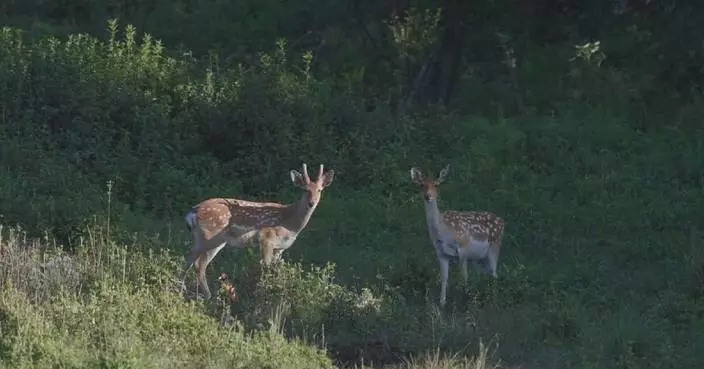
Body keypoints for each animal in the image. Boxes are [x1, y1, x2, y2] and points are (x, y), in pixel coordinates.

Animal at [183, 162, 334, 298]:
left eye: (319, 190)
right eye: (305, 189)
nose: (311, 203)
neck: (291, 224)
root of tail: (192, 212)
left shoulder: (281, 248)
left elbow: (274, 269)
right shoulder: (266, 238)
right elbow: (265, 267)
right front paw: (264, 292)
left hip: (210, 239)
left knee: (190, 259)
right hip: (210, 236)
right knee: (198, 263)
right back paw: (207, 296)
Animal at [410, 164, 504, 304]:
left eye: (436, 185)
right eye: (422, 185)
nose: (428, 196)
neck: (442, 232)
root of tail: (502, 221)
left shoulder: (463, 247)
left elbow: (464, 276)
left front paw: (464, 299)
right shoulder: (441, 253)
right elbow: (444, 278)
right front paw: (442, 303)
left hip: (494, 247)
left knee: (494, 274)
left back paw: (494, 299)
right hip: (480, 259)